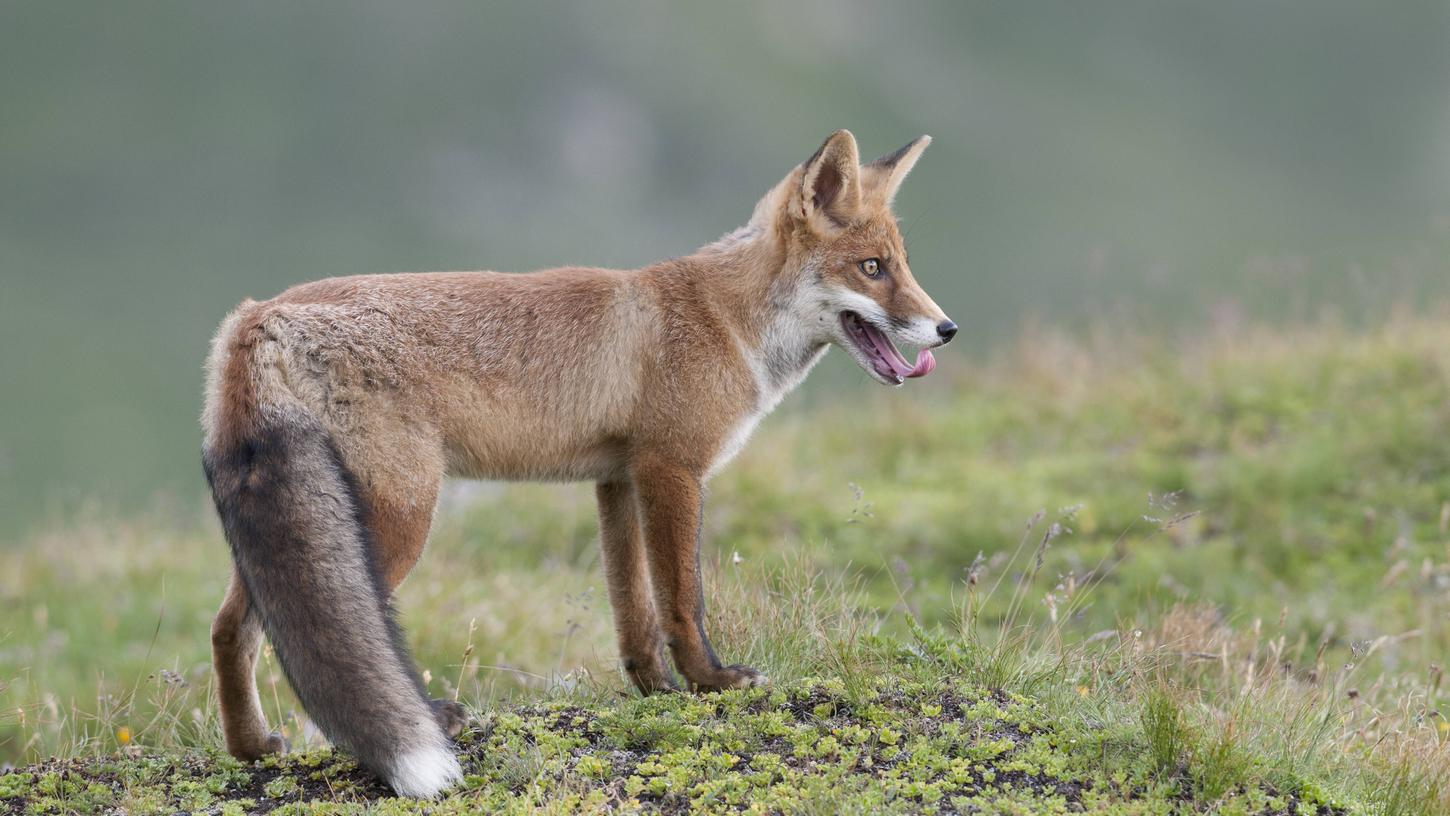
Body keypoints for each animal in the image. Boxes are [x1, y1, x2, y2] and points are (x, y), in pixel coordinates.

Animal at [198, 128, 957, 800]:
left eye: (900, 264)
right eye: (871, 269)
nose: (947, 329)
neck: (726, 320)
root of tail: (256, 317)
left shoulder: (616, 478)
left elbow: (633, 609)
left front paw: (653, 689)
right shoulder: (672, 469)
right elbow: (683, 598)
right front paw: (709, 683)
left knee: (232, 628)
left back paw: (251, 747)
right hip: (395, 515)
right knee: (337, 636)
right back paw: (418, 722)